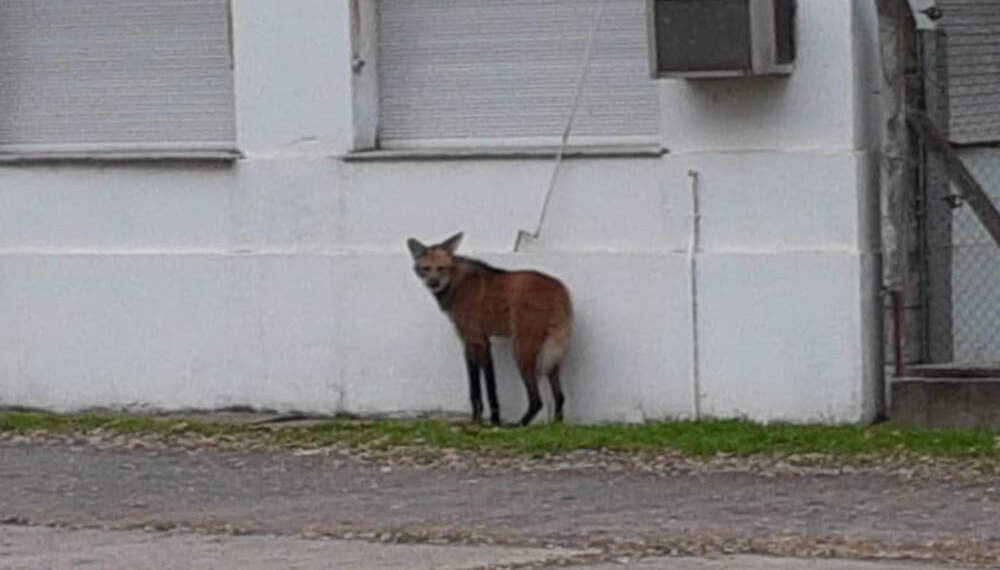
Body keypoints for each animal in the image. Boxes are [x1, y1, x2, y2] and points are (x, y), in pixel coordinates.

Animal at [404, 232, 576, 426]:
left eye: (441, 268)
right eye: (426, 268)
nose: (433, 283)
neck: (456, 282)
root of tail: (559, 288)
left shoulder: (472, 340)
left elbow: (477, 388)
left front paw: (480, 420)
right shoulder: (483, 341)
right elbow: (489, 385)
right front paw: (492, 419)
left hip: (522, 348)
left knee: (536, 400)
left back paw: (519, 425)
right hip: (552, 349)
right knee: (560, 396)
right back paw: (557, 424)